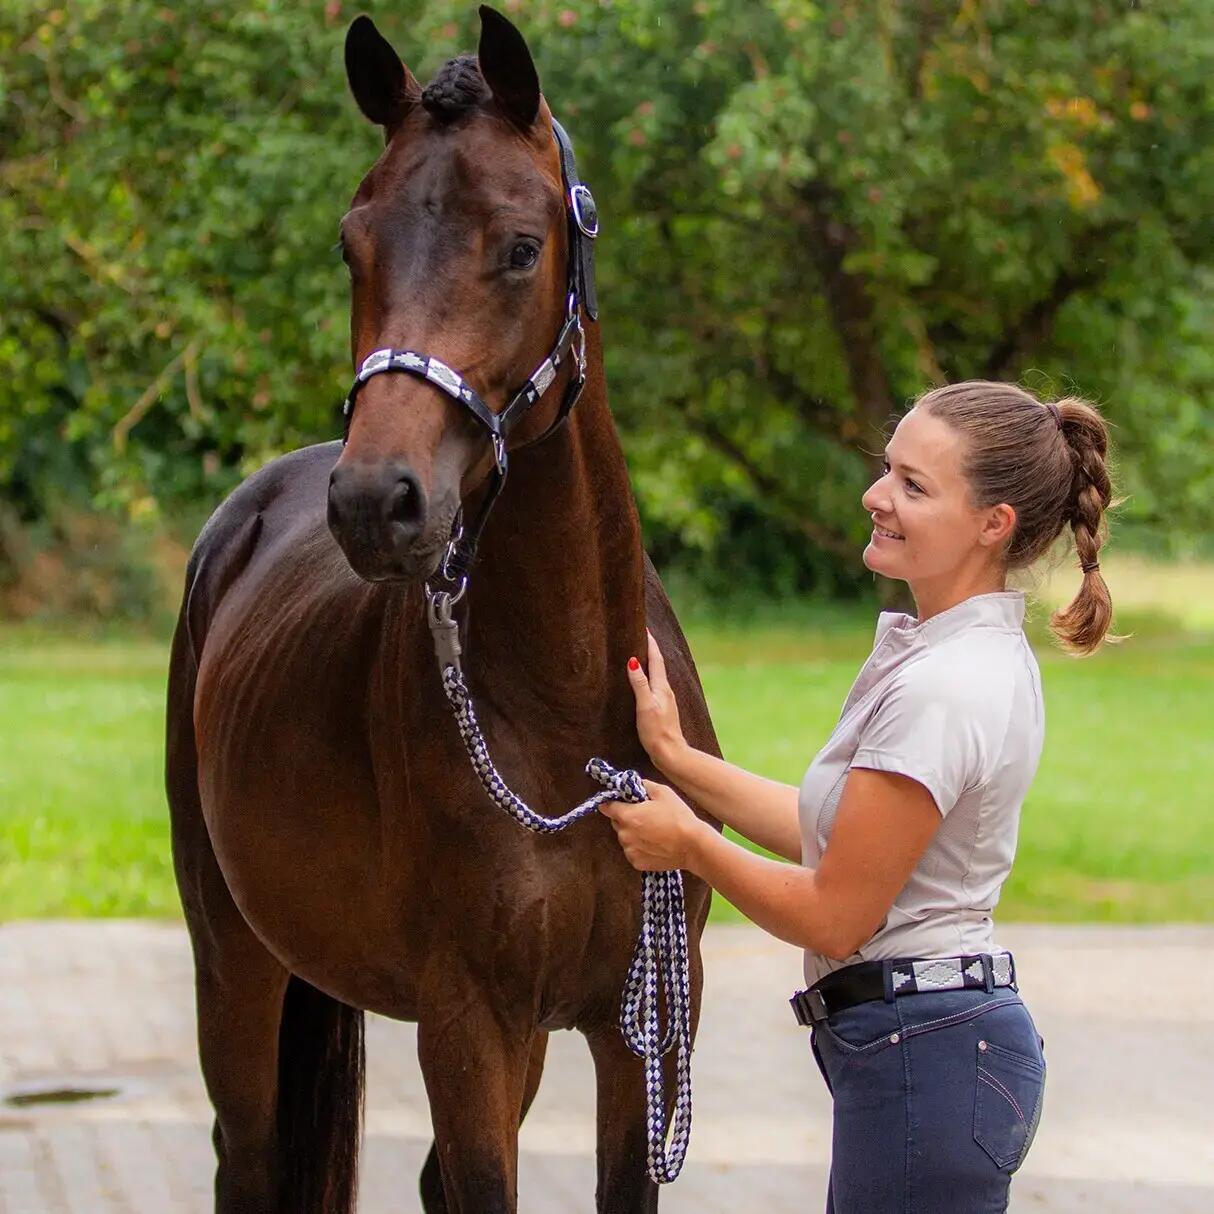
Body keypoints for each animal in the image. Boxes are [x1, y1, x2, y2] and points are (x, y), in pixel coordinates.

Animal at [165, 8, 721, 1211]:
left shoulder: (643, 1022)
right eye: (351, 244)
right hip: (234, 960)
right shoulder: (470, 1023)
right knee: (249, 1154)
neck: (567, 713)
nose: (376, 502)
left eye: (520, 246)